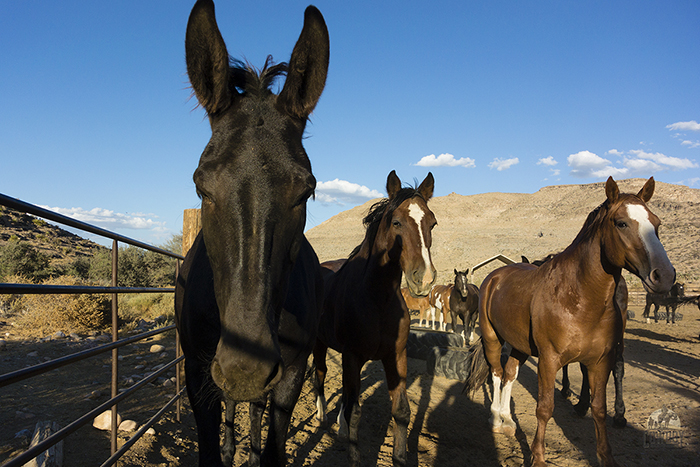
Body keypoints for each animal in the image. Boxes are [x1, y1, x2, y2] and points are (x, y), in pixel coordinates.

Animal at [175, 1, 328, 466]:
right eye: (202, 187)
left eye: (306, 191)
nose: (246, 368)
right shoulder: (198, 371)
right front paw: (225, 450)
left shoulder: (290, 373)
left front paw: (259, 453)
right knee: (231, 402)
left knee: (253, 407)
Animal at [314, 172, 434, 467]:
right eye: (396, 222)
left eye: (432, 223)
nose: (424, 279)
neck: (376, 298)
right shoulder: (352, 356)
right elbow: (356, 412)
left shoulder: (396, 356)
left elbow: (401, 411)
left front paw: (401, 458)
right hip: (318, 344)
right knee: (320, 374)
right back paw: (322, 416)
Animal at [464, 177, 680, 466]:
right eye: (621, 223)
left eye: (657, 223)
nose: (664, 276)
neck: (578, 297)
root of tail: (494, 275)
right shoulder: (549, 360)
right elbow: (545, 408)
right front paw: (537, 457)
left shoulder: (599, 362)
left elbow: (599, 409)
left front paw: (606, 455)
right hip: (492, 338)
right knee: (497, 373)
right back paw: (497, 418)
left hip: (520, 345)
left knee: (509, 373)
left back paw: (509, 421)